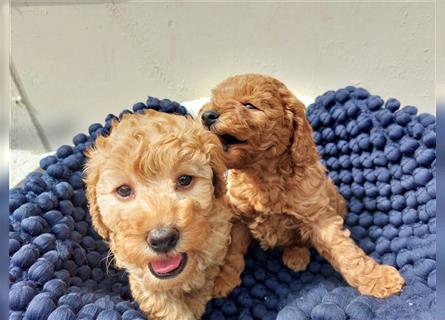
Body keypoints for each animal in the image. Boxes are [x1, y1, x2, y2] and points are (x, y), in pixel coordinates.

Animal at [199, 74, 404, 298]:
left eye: (249, 105)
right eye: (215, 99)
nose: (207, 115)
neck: (261, 175)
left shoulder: (318, 216)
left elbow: (344, 250)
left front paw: (379, 279)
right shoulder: (237, 217)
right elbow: (231, 252)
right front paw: (222, 280)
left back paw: (297, 255)